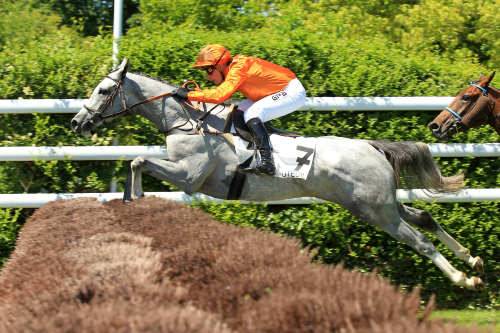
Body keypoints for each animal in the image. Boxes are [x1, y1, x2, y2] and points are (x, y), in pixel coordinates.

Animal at [71, 59, 484, 288]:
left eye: (103, 89)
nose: (78, 122)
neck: (187, 122)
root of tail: (372, 147)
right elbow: (135, 162)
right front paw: (132, 204)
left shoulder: (189, 176)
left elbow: (138, 161)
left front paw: (137, 201)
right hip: (377, 204)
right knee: (425, 217)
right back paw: (472, 259)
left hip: (377, 211)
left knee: (420, 241)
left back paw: (464, 278)